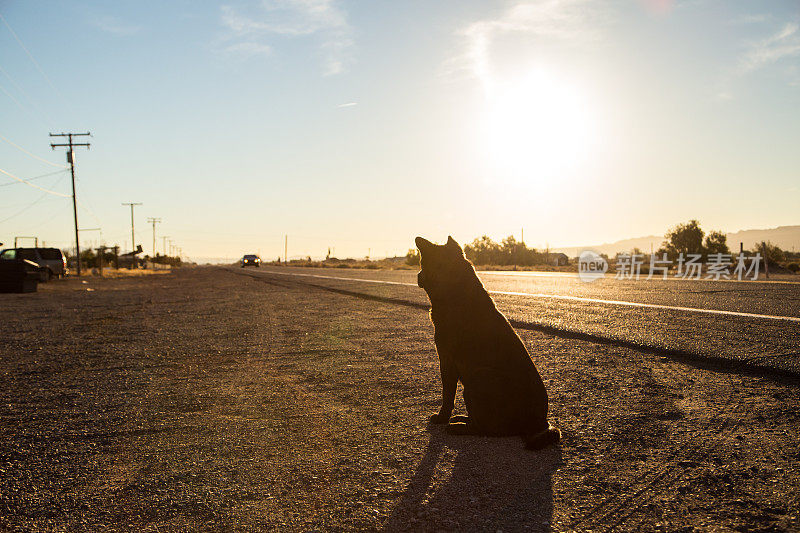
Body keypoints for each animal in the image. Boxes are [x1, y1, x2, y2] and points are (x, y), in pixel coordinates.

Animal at [416, 235, 560, 446]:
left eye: (423, 263)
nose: (418, 275)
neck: (456, 292)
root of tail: (537, 423)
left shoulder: (447, 361)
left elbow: (448, 395)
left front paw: (441, 417)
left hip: (479, 378)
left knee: (486, 429)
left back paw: (458, 427)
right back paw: (463, 419)